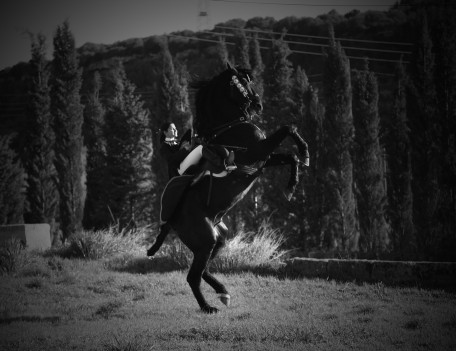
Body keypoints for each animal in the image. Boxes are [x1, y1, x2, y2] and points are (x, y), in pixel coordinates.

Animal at [148, 62, 308, 314]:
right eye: (241, 83)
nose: (258, 104)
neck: (230, 126)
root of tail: (171, 220)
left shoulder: (261, 159)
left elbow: (290, 156)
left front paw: (292, 185)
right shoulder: (257, 151)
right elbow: (287, 128)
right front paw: (305, 151)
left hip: (217, 239)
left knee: (203, 269)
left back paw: (222, 291)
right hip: (205, 241)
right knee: (193, 276)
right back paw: (208, 307)